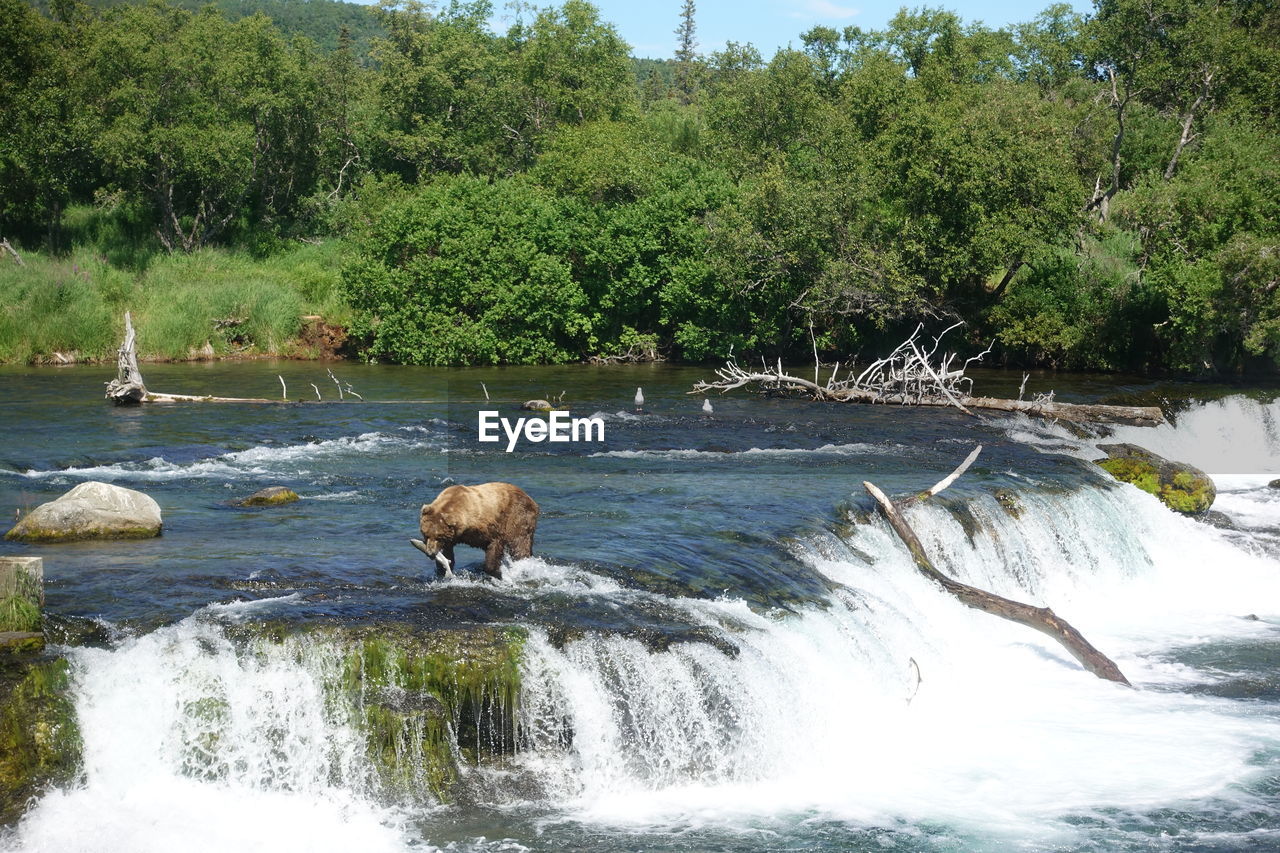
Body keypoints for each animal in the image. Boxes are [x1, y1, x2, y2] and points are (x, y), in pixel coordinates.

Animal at [404, 479, 535, 578]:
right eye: (425, 534)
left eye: (438, 537)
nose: (430, 553)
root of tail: (531, 498)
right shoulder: (453, 537)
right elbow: (448, 552)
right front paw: (442, 568)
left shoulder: (490, 525)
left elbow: (494, 546)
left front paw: (493, 571)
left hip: (519, 516)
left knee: (520, 543)